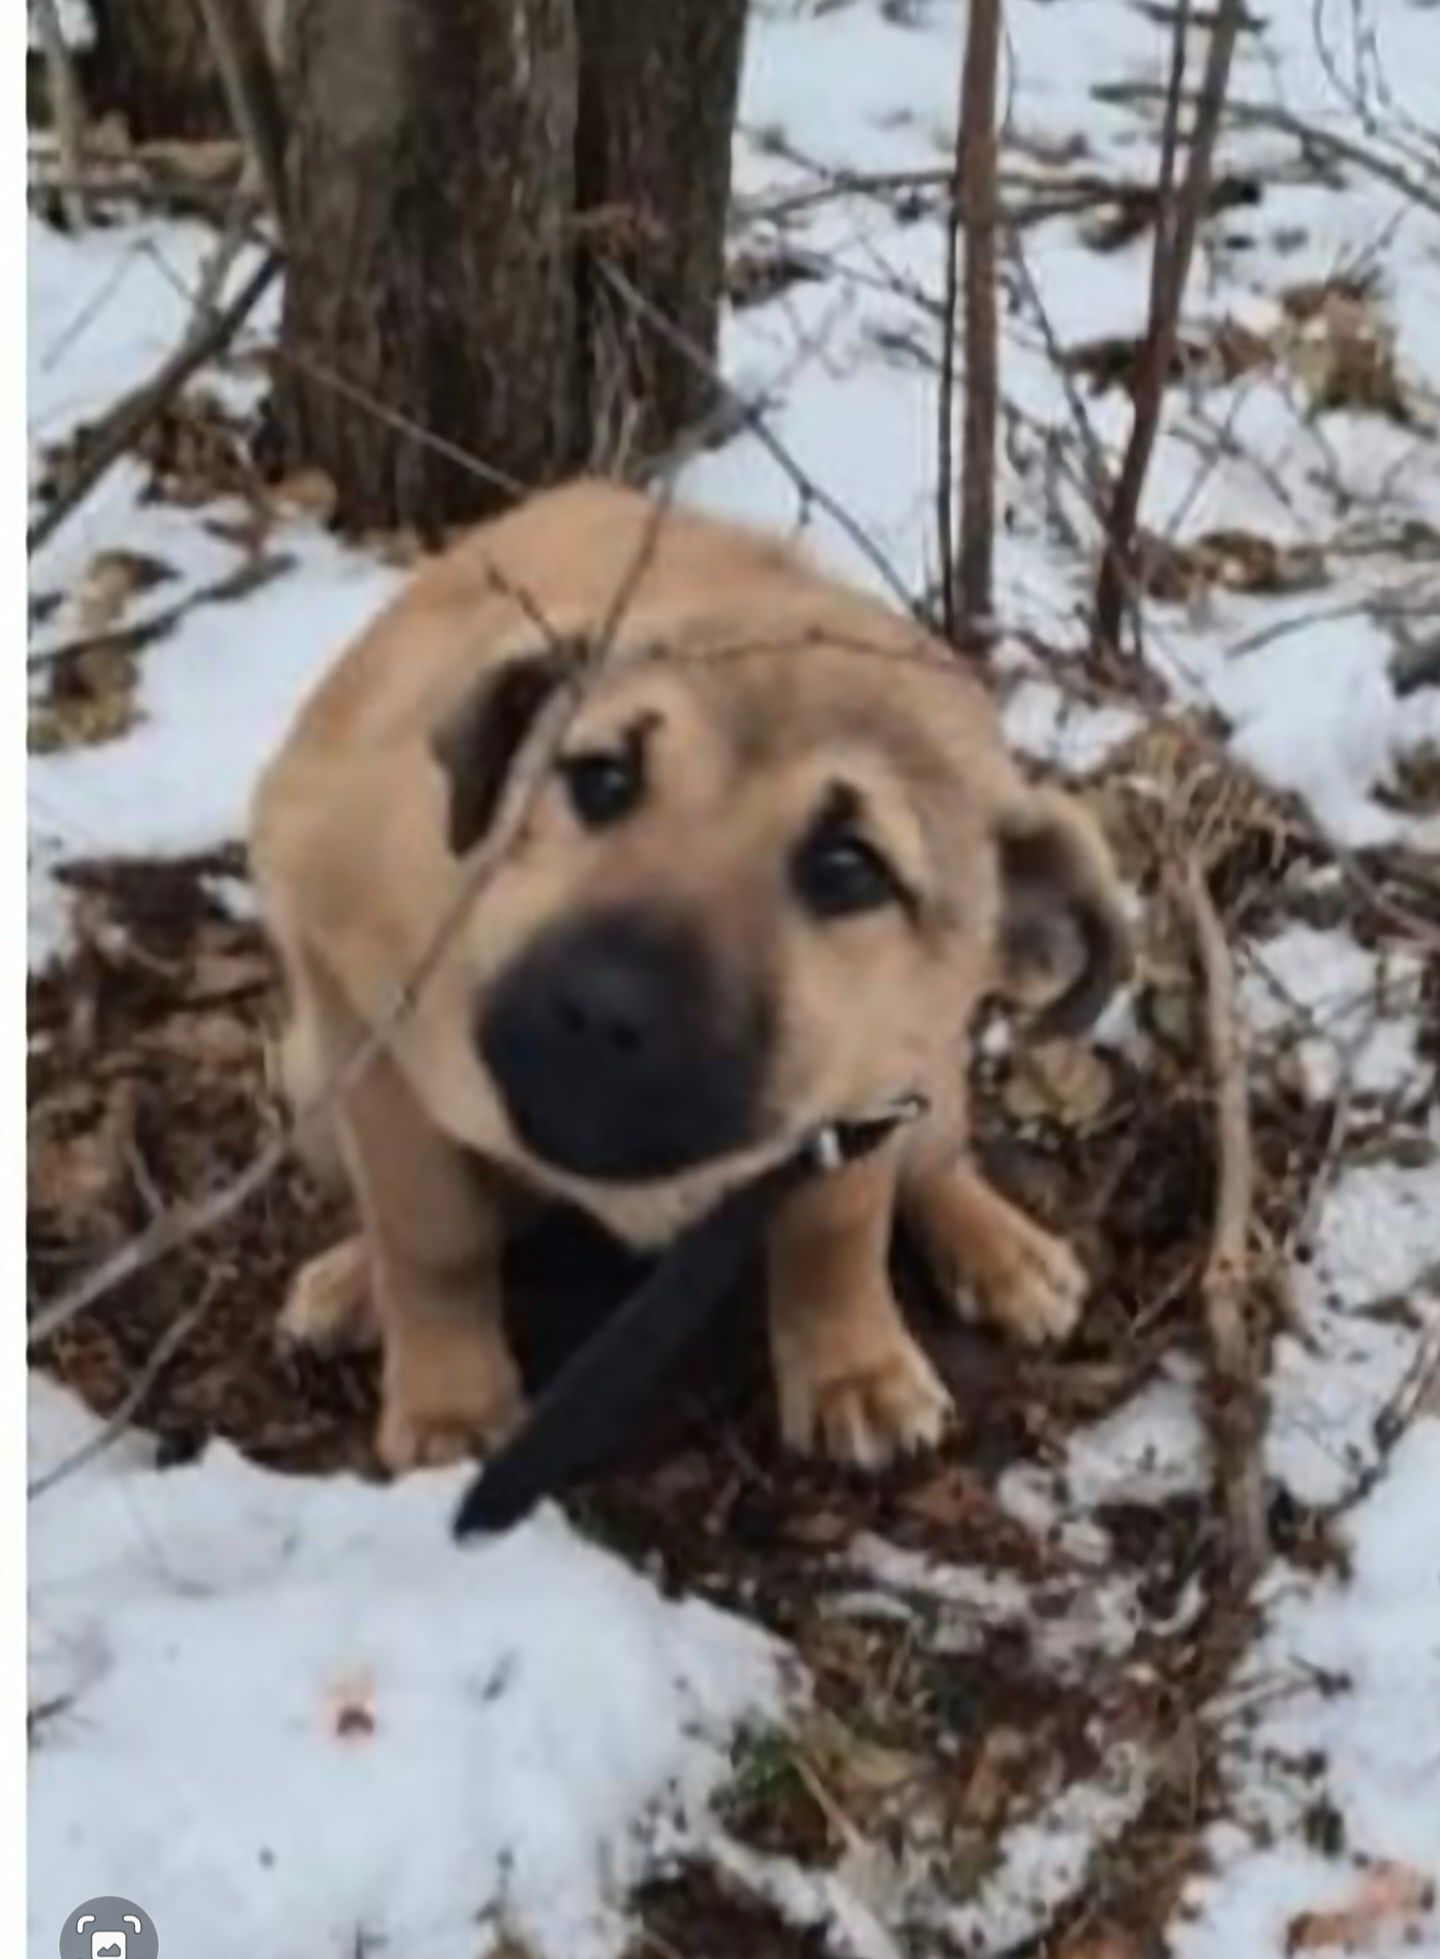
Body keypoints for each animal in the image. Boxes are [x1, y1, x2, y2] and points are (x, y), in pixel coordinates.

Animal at [247, 481, 1128, 1473]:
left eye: (848, 867)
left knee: (934, 1157)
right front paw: (451, 1401)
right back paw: (355, 1281)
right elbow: (431, 1232)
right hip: (311, 1075)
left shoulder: (864, 1091)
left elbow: (838, 1227)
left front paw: (852, 1366)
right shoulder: (360, 1004)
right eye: (601, 776)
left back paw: (1001, 1248)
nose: (601, 1010)